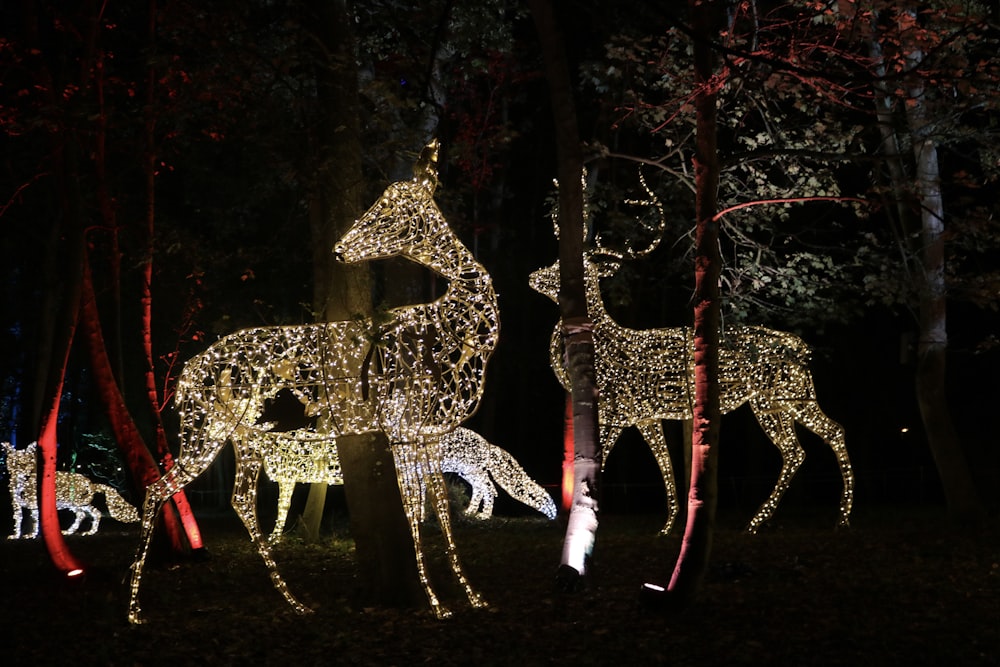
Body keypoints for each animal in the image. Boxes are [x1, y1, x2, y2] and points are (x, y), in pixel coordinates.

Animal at [127, 142, 498, 628]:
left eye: (394, 205)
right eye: (382, 199)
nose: (340, 248)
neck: (456, 330)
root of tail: (187, 374)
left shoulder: (429, 432)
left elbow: (440, 510)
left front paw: (474, 597)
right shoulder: (400, 428)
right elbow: (415, 513)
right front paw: (438, 604)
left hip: (244, 436)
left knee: (241, 501)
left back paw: (295, 601)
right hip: (202, 430)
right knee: (158, 489)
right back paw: (134, 610)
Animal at [532, 174, 852, 536]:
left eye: (568, 268)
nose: (533, 276)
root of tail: (801, 347)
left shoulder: (618, 411)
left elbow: (601, 461)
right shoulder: (645, 415)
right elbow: (666, 465)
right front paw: (667, 526)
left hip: (790, 394)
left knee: (826, 435)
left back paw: (837, 518)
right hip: (774, 401)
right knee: (800, 448)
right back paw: (762, 522)